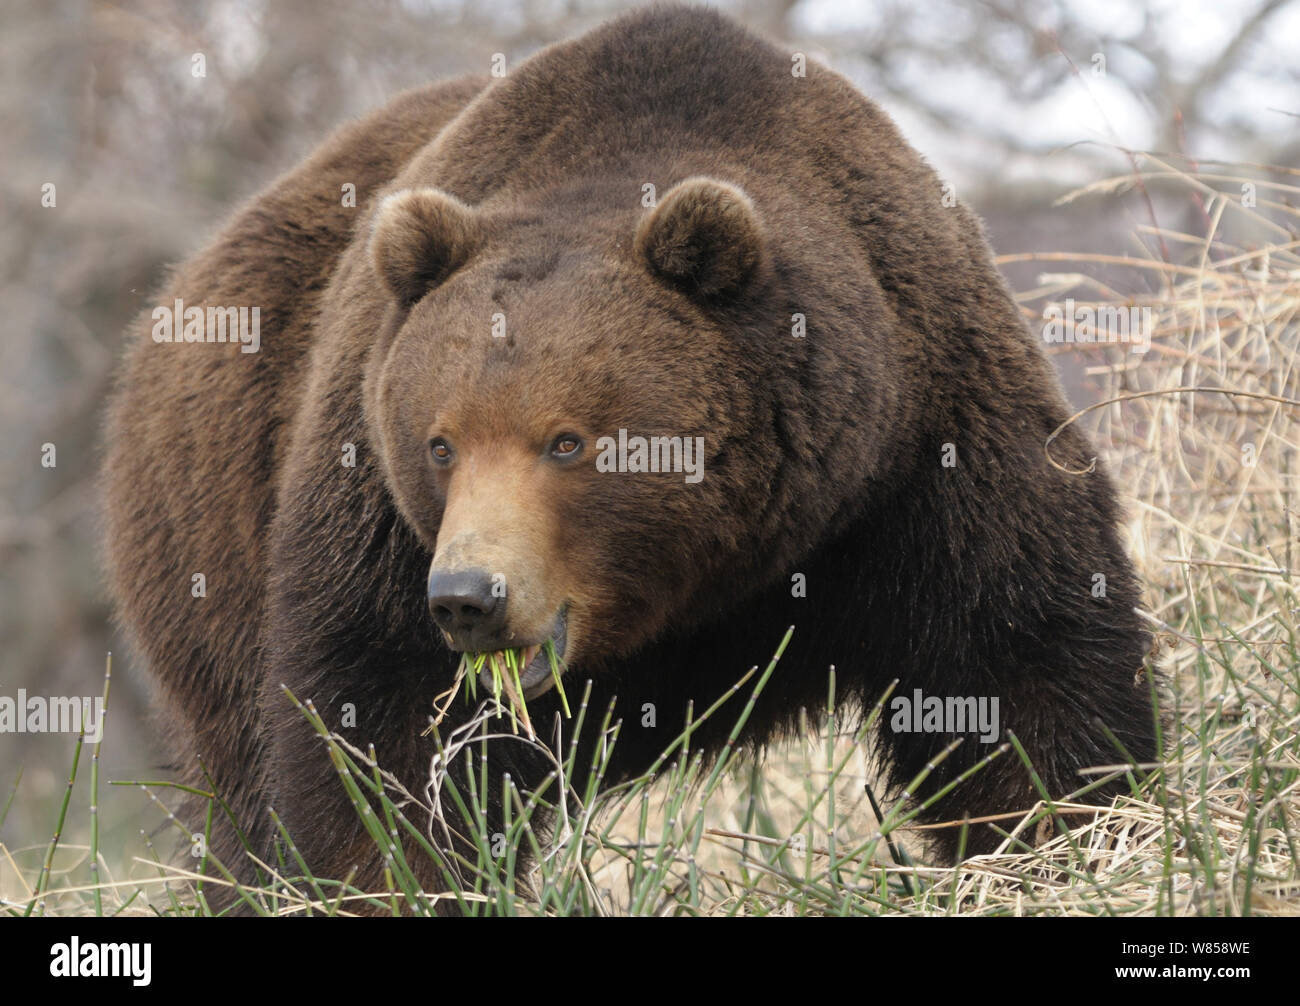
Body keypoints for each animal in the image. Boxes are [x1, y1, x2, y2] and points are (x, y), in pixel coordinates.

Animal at [104, 3, 1159, 909]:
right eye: (440, 442)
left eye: (567, 440)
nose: (469, 597)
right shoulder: (374, 524)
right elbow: (377, 739)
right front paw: (384, 878)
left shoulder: (920, 449)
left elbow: (1015, 672)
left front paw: (1063, 845)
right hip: (212, 519)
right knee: (237, 772)